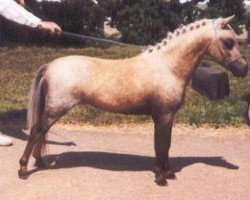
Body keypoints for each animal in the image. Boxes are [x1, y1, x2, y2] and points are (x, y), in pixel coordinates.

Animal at [17, 16, 248, 186]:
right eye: (228, 42)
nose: (243, 70)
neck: (167, 66)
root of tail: (50, 65)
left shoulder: (168, 118)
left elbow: (167, 144)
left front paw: (168, 172)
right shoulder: (162, 116)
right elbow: (160, 145)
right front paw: (161, 177)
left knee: (41, 132)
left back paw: (40, 162)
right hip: (56, 109)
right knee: (36, 131)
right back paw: (23, 170)